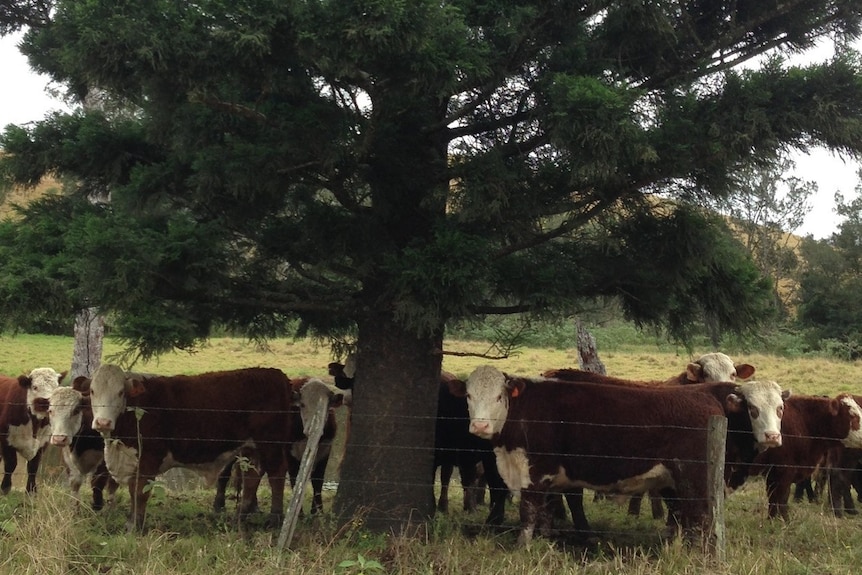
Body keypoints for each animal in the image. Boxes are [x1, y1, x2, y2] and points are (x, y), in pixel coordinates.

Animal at [0, 368, 65, 496]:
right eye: (35, 387)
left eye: (56, 387)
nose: (46, 401)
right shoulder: (6, 440)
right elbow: (10, 464)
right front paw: (5, 488)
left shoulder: (42, 443)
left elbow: (33, 467)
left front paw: (31, 491)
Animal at [48, 380, 119, 510]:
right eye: (50, 411)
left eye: (76, 410)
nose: (59, 439)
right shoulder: (67, 455)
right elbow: (75, 481)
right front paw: (74, 508)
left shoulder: (104, 457)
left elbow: (97, 481)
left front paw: (97, 506)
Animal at [89, 364, 296, 532]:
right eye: (92, 391)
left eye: (120, 392)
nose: (103, 422)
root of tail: (276, 374)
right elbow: (134, 490)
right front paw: (131, 523)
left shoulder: (149, 456)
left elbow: (139, 491)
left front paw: (134, 527)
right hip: (251, 449)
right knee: (252, 477)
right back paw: (239, 518)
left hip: (271, 444)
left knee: (277, 475)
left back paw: (275, 520)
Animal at [728, 392, 862, 520]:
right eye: (853, 415)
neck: (803, 420)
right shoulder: (785, 471)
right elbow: (782, 497)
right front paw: (785, 520)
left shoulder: (773, 472)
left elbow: (773, 498)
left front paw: (772, 520)